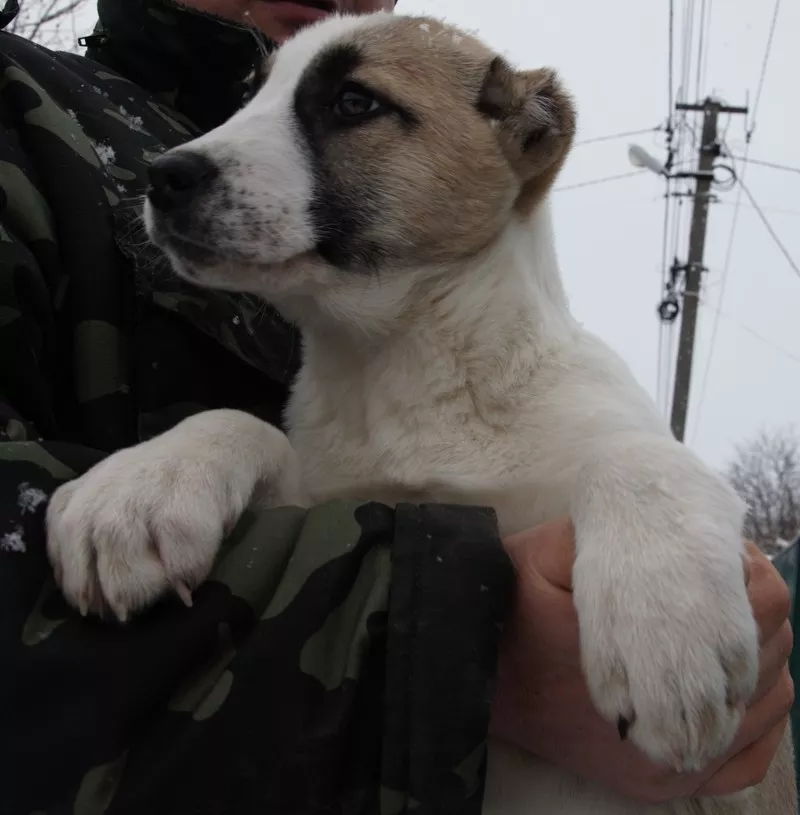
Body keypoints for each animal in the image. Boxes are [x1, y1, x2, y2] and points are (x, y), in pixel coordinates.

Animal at [48, 12, 792, 815]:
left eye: (353, 102)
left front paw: (665, 631)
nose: (163, 176)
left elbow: (638, 456)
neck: (401, 366)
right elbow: (242, 425)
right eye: (251, 95)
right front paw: (133, 491)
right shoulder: (324, 498)